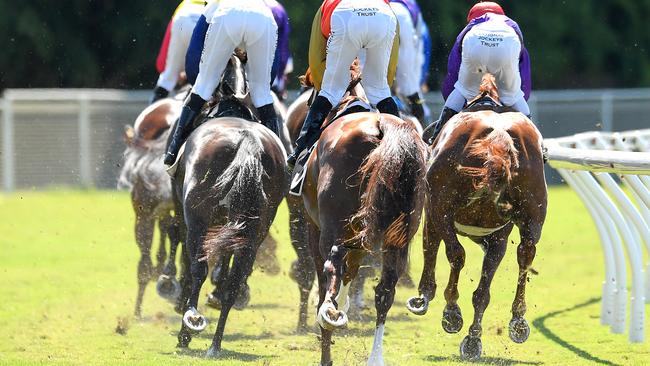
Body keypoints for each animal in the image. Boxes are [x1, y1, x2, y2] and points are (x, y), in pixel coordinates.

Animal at [171, 55, 288, 356]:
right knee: (235, 280)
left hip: (198, 220)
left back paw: (188, 329)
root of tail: (248, 143)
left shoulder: (188, 216)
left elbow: (191, 262)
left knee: (198, 268)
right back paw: (215, 343)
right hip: (255, 229)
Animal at [294, 72, 428, 366]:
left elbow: (331, 274)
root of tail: (383, 128)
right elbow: (353, 269)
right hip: (397, 238)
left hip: (332, 227)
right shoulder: (361, 234)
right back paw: (375, 356)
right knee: (385, 290)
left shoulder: (315, 227)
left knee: (331, 265)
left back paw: (328, 318)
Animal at [408, 73, 544, 360]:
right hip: (533, 217)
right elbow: (484, 288)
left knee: (456, 254)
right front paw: (474, 339)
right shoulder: (499, 235)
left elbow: (431, 248)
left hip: (441, 207)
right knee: (525, 255)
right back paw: (512, 324)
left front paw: (424, 296)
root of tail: (500, 136)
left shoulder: (432, 212)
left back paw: (452, 312)